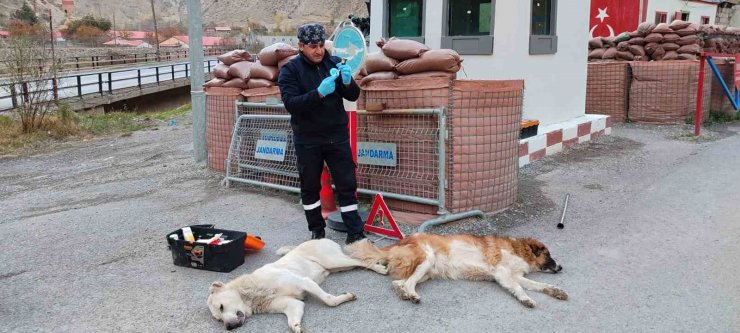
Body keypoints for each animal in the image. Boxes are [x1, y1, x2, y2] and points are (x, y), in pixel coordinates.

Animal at [204, 239, 384, 330]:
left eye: (221, 307)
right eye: (219, 320)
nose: (228, 327)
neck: (254, 291)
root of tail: (321, 237)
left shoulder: (306, 282)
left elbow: (329, 300)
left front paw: (345, 297)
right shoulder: (293, 304)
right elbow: (292, 322)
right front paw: (297, 327)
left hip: (334, 261)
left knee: (361, 260)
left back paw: (381, 267)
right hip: (338, 267)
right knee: (357, 262)